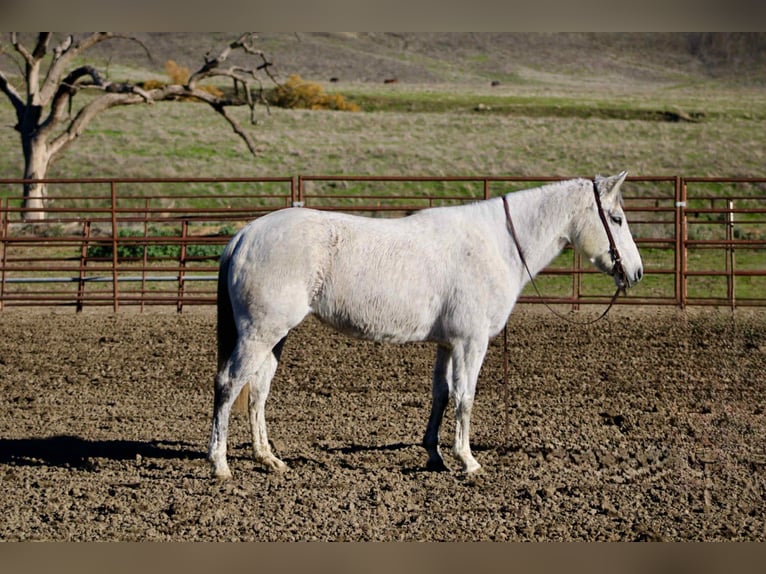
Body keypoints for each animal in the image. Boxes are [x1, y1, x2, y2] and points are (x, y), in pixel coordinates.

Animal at [207, 172, 643, 479]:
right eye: (617, 218)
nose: (636, 272)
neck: (495, 244)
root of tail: (245, 234)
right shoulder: (470, 343)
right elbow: (465, 398)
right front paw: (468, 461)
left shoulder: (447, 344)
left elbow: (441, 396)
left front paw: (435, 456)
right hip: (260, 333)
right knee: (229, 384)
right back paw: (220, 464)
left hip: (274, 337)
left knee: (258, 391)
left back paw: (268, 459)